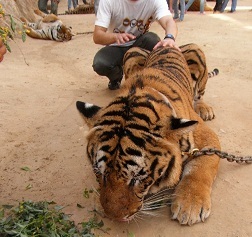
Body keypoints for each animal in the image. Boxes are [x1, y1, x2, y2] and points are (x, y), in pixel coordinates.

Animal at [76, 44, 220, 226]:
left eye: (137, 178)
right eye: (99, 172)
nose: (114, 217)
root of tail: (167, 45)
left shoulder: (208, 138)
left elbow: (200, 166)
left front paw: (190, 204)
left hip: (196, 52)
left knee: (199, 94)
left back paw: (204, 108)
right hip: (132, 53)